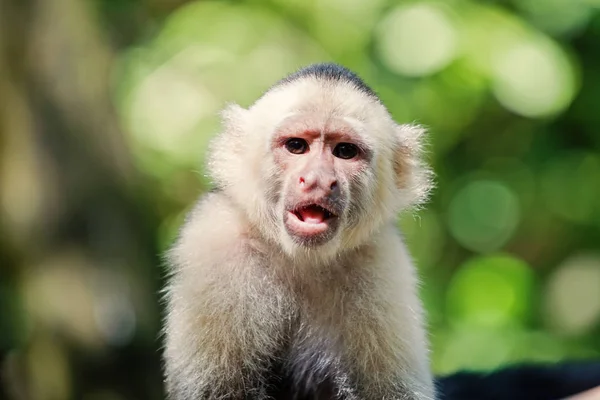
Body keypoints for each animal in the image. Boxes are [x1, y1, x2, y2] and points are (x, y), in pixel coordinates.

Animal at [161, 63, 600, 400]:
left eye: (344, 152)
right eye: (297, 146)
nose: (318, 180)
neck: (302, 259)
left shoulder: (383, 262)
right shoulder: (213, 245)